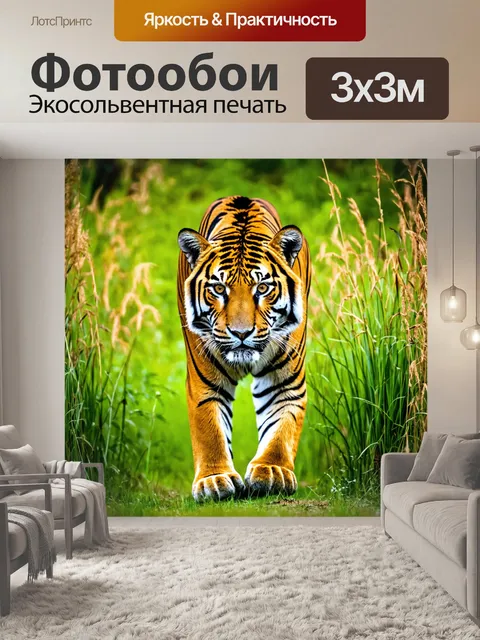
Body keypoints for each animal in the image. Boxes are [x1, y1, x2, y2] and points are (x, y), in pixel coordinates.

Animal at [177, 196, 311, 502]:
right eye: (218, 289)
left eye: (262, 288)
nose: (241, 333)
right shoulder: (205, 382)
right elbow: (209, 430)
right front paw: (214, 480)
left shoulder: (284, 383)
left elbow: (281, 429)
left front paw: (272, 471)